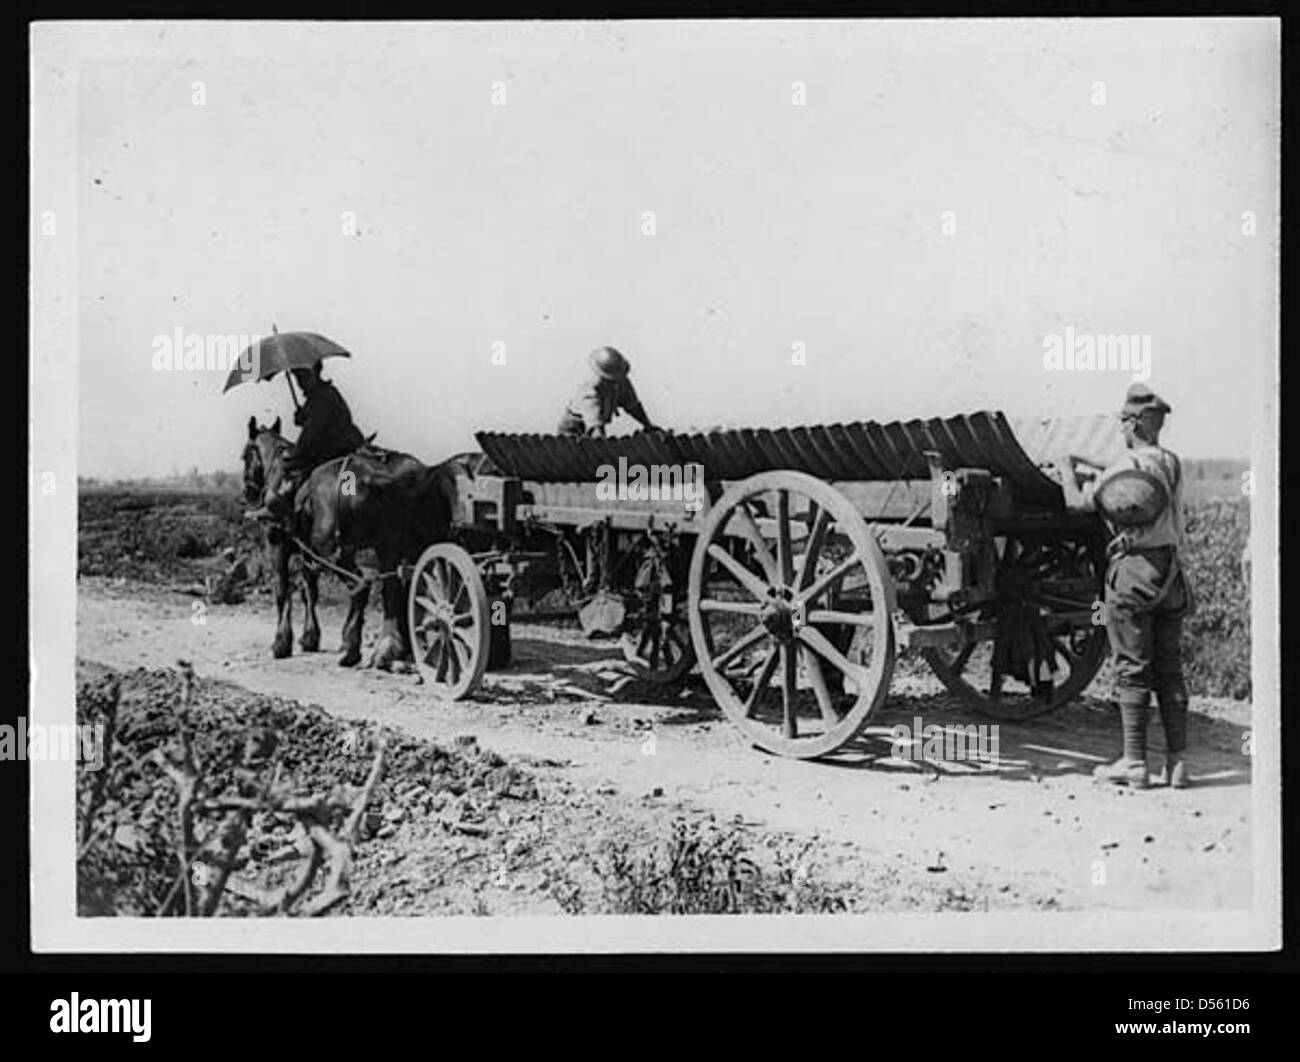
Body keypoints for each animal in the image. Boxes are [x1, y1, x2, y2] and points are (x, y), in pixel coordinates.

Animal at [241, 415, 460, 670]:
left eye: (245, 455)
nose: (248, 492)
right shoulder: (307, 553)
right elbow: (309, 591)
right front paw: (309, 637)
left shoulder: (279, 547)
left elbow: (283, 590)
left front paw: (281, 643)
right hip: (392, 548)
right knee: (397, 590)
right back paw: (391, 649)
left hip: (336, 553)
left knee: (362, 586)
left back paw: (354, 650)